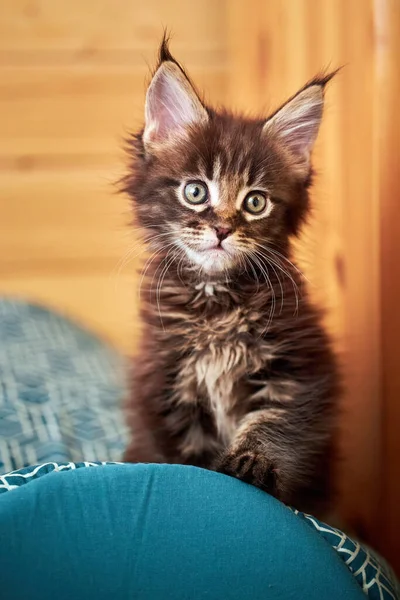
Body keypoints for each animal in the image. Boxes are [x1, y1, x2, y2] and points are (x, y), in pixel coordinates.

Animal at [122, 38, 340, 516]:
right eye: (195, 191)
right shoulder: (166, 384)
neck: (216, 302)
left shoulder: (296, 371)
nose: (222, 229)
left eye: (256, 202)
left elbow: (273, 425)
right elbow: (187, 458)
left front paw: (250, 465)